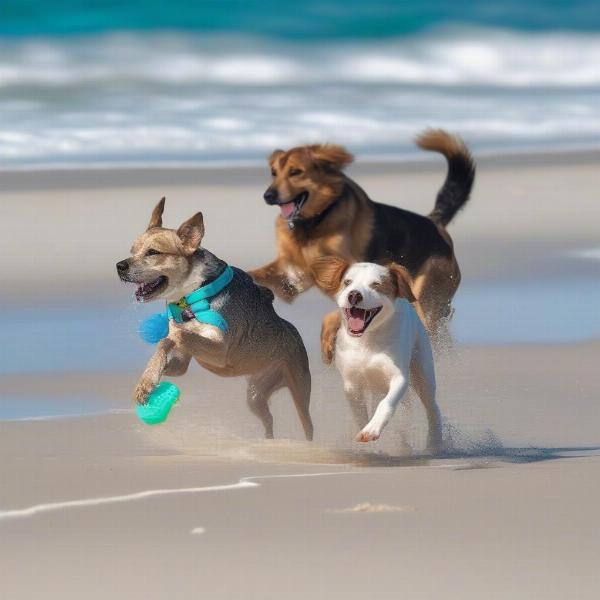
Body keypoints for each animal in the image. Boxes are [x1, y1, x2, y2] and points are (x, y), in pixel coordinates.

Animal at [247, 130, 474, 360]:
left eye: (296, 172)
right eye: (274, 173)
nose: (268, 196)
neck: (315, 222)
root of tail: (436, 224)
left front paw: (328, 343)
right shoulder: (292, 273)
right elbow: (255, 274)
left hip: (427, 302)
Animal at [312, 258, 442, 450]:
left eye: (376, 284)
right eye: (348, 282)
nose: (354, 295)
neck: (368, 340)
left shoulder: (399, 377)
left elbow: (386, 404)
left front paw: (371, 430)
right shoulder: (351, 384)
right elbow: (359, 414)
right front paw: (364, 436)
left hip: (423, 372)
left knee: (432, 408)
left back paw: (435, 444)